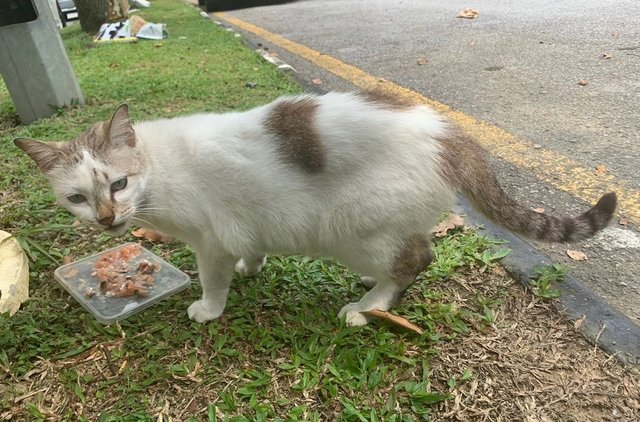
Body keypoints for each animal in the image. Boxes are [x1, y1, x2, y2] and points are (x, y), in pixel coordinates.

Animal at [13, 91, 616, 326]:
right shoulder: (243, 226)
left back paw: (367, 307)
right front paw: (251, 268)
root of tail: (452, 134)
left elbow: (212, 281)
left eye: (118, 183)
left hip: (353, 232)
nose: (107, 220)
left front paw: (209, 308)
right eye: (76, 198)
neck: (157, 169)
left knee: (417, 260)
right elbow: (250, 252)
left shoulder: (208, 241)